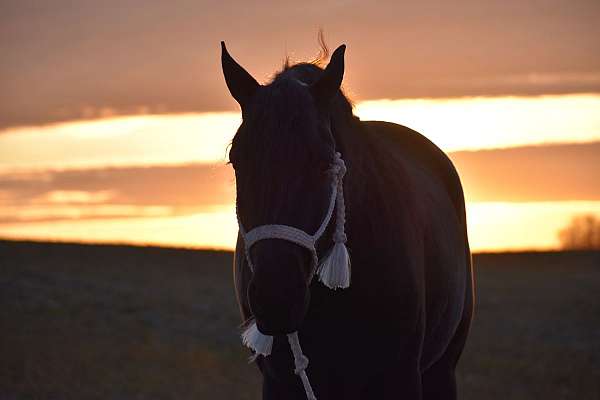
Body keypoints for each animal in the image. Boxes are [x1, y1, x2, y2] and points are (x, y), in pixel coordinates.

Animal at [220, 41, 474, 400]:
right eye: (236, 160)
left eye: (325, 161)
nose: (276, 295)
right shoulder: (279, 383)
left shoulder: (402, 378)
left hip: (442, 370)